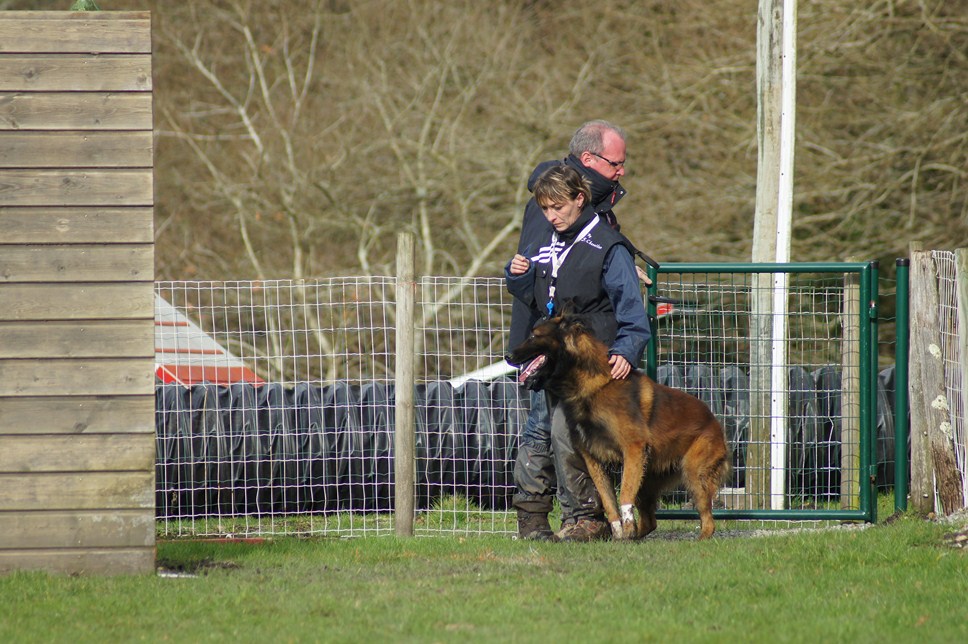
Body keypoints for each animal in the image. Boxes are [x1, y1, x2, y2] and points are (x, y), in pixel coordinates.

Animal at [510, 312, 728, 540]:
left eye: (534, 336)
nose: (508, 356)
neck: (592, 385)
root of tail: (714, 420)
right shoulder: (593, 458)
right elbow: (608, 501)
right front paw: (617, 533)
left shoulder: (633, 450)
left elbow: (623, 494)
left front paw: (626, 528)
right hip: (647, 480)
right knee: (650, 521)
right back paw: (634, 537)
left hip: (693, 474)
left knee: (708, 520)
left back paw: (698, 539)